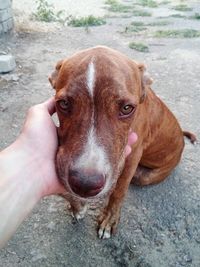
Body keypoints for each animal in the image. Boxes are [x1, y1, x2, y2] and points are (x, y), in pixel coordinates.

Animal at [49, 45, 196, 240]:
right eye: (63, 103)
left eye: (127, 108)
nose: (85, 184)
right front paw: (77, 205)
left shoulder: (132, 155)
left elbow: (119, 190)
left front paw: (109, 219)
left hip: (144, 176)